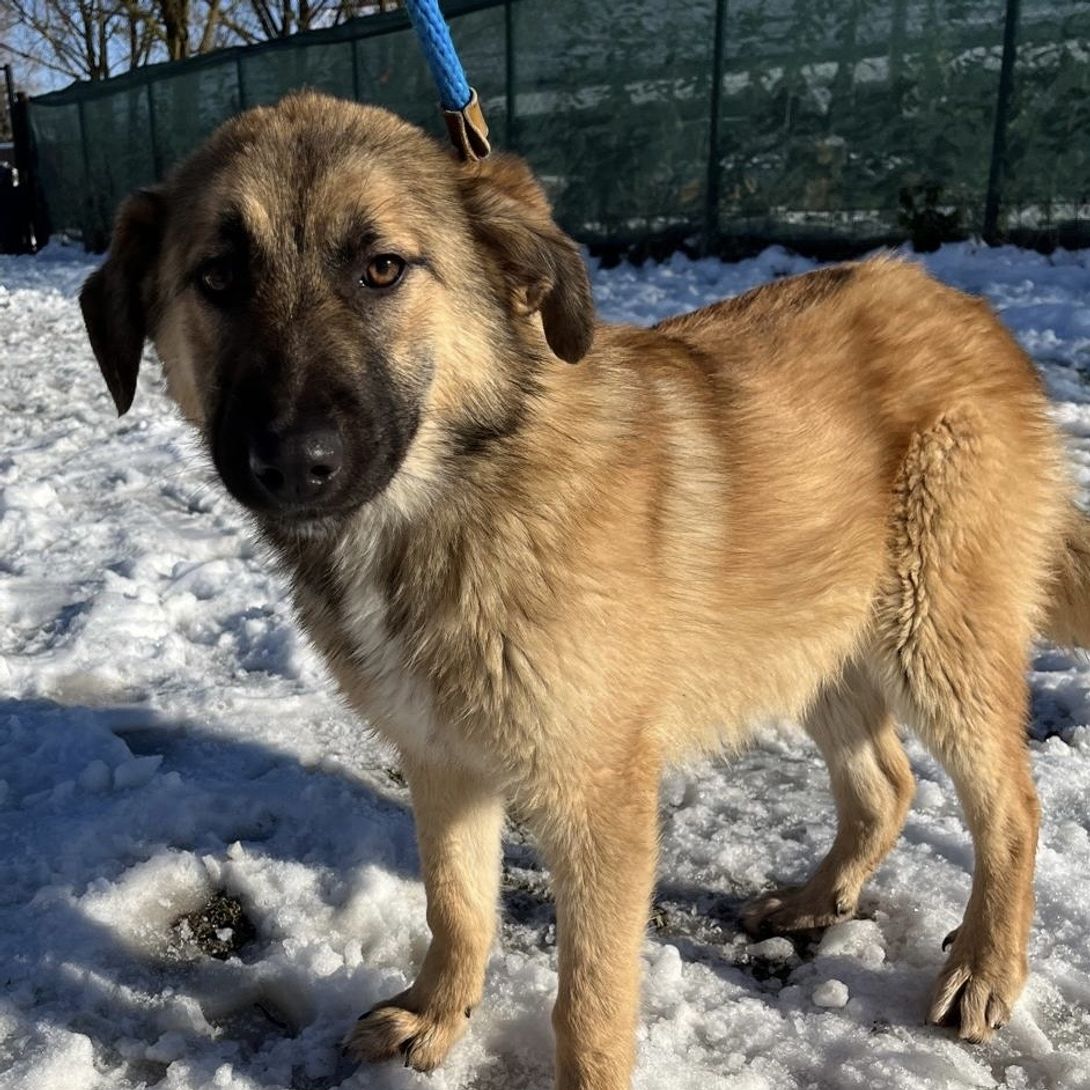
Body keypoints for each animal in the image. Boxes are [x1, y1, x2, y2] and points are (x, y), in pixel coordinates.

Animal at [80, 90, 1090, 1090]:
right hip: (814, 636)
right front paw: (438, 1014)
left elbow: (589, 1004)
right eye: (218, 277)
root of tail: (970, 309)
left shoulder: (598, 799)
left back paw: (984, 968)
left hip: (935, 640)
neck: (451, 499)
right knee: (885, 784)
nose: (293, 462)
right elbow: (456, 904)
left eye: (381, 269)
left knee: (1012, 808)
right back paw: (815, 899)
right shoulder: (441, 758)